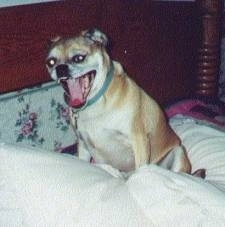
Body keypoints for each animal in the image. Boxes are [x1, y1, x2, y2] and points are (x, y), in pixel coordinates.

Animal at [46, 28, 205, 176]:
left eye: (79, 58)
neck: (95, 104)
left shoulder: (139, 140)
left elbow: (140, 169)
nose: (60, 68)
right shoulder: (83, 146)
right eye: (51, 62)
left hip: (178, 153)